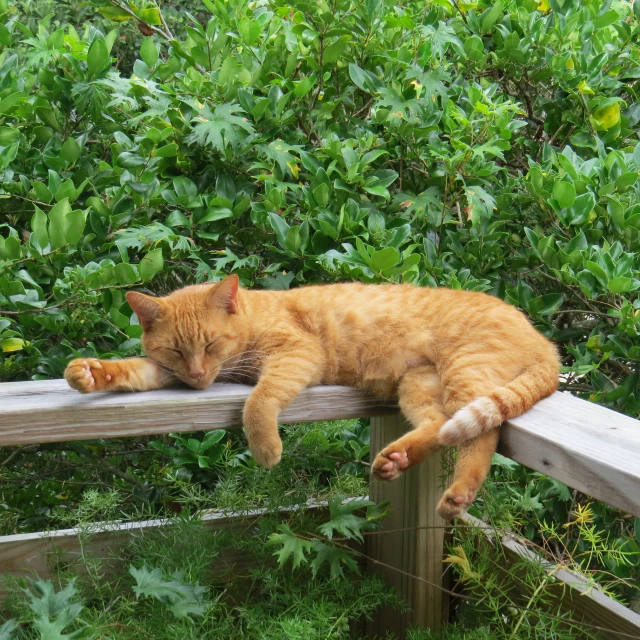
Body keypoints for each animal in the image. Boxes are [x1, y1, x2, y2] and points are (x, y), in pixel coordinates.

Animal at [62, 276, 556, 520]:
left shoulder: (296, 355)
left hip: (465, 372)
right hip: (419, 385)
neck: (252, 314)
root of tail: (542, 338)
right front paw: (90, 372)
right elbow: (131, 370)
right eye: (177, 351)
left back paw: (459, 492)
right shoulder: (165, 372)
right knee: (437, 426)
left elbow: (258, 401)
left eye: (210, 344)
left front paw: (265, 448)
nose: (199, 376)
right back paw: (395, 459)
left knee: (482, 433)